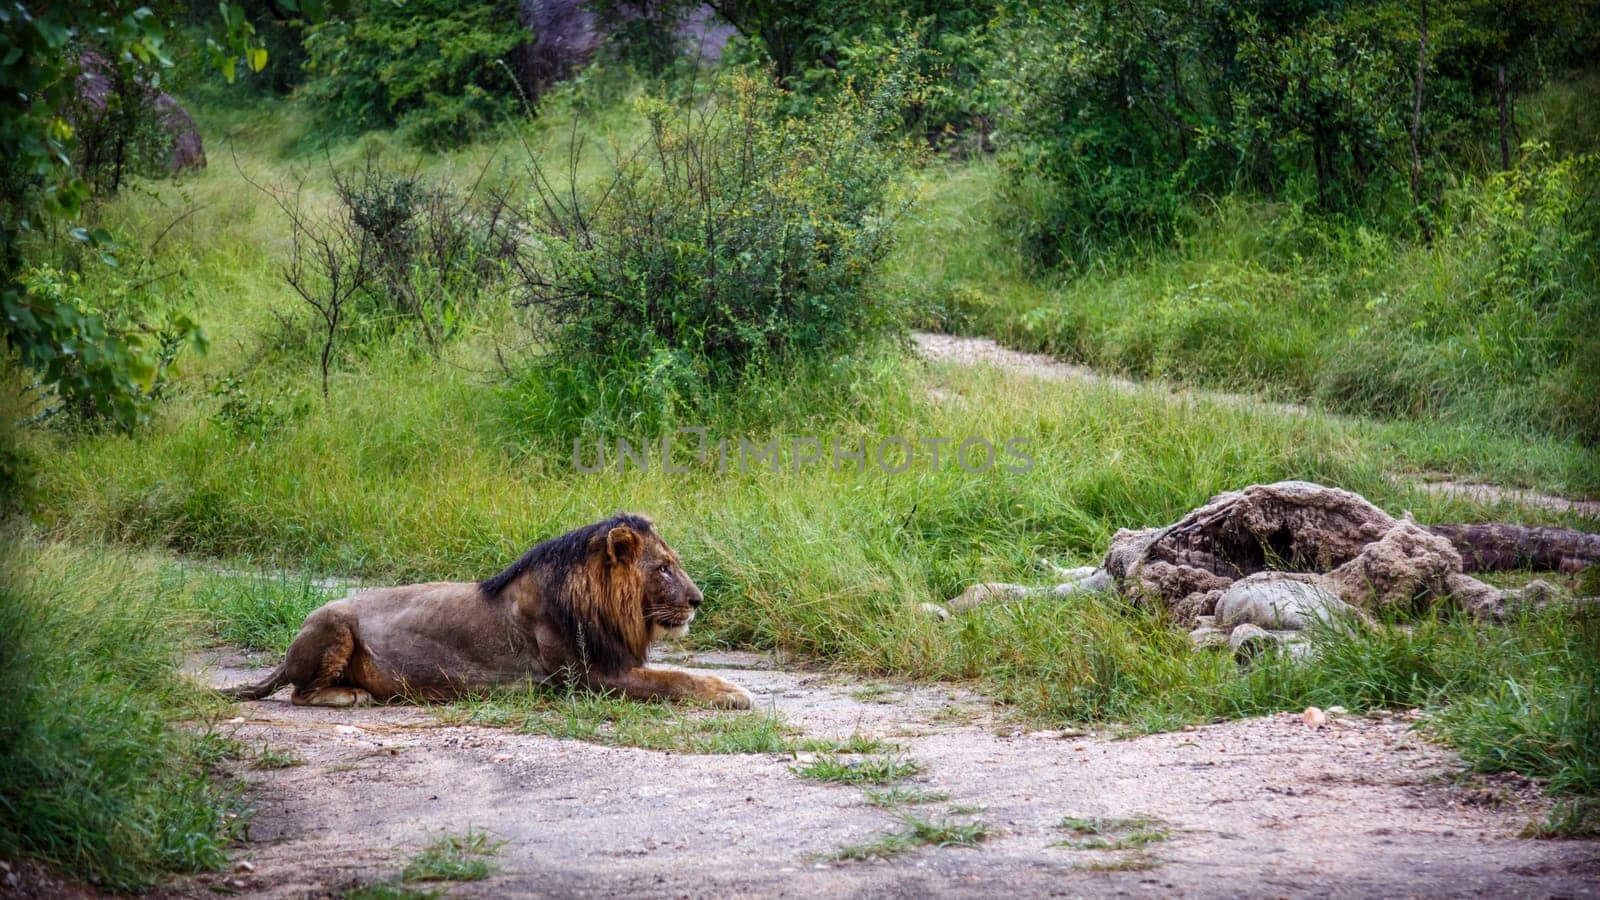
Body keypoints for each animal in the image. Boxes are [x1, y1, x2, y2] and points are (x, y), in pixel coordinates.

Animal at [217, 512, 755, 707]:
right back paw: (351, 697)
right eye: (663, 568)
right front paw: (731, 691)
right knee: (298, 693)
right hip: (332, 624)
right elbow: (673, 680)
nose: (698, 600)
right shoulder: (586, 678)